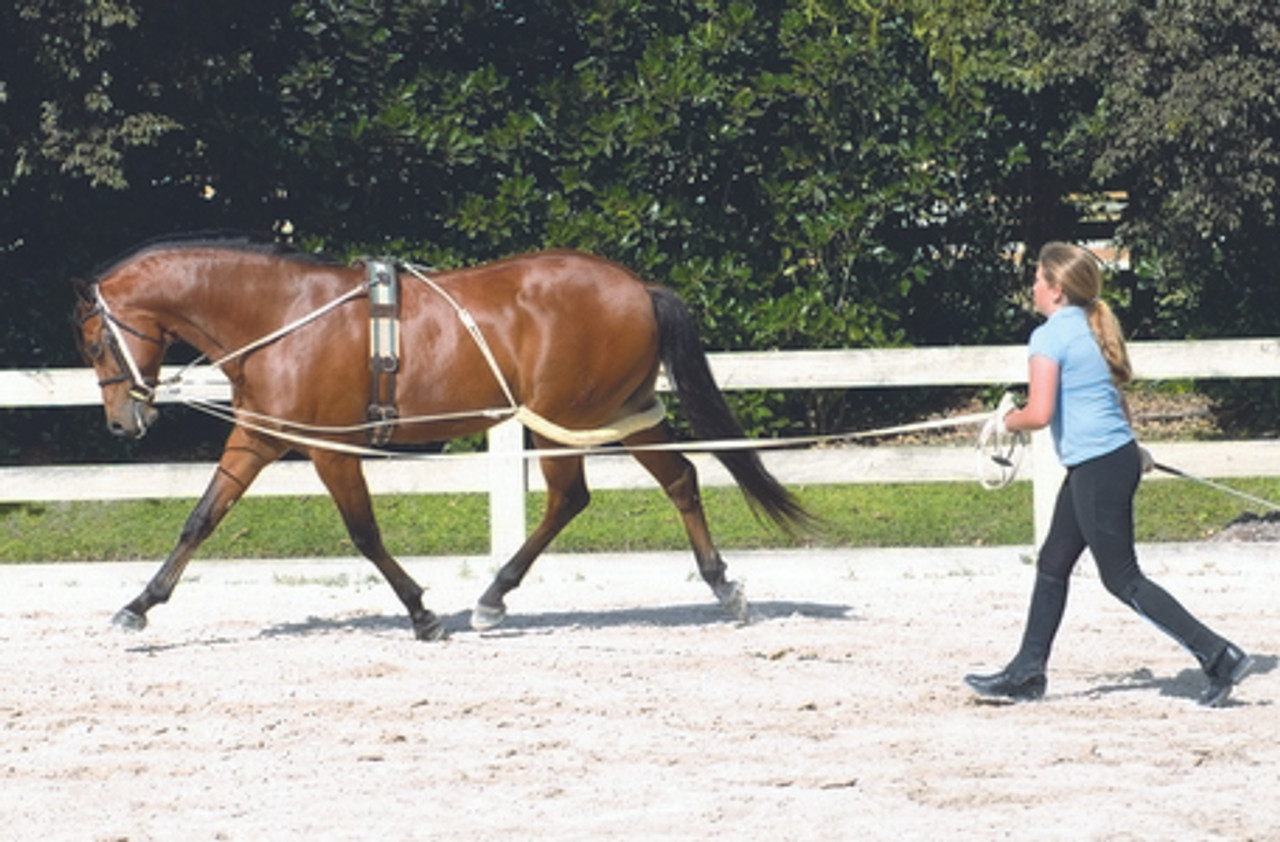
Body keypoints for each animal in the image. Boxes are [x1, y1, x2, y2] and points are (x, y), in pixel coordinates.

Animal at [72, 233, 811, 640]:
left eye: (96, 342)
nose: (122, 421)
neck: (282, 316)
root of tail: (636, 286)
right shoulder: (256, 439)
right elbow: (200, 520)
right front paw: (138, 606)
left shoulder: (328, 449)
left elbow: (364, 534)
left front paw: (422, 615)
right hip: (621, 412)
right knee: (679, 477)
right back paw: (722, 587)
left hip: (565, 421)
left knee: (570, 499)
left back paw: (493, 598)